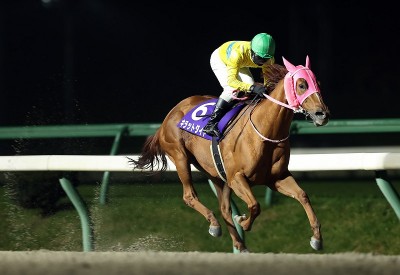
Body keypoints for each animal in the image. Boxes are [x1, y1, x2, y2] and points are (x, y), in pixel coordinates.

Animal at [130, 55, 328, 252]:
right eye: (302, 85)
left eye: (318, 83)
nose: (322, 114)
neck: (266, 131)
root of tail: (168, 117)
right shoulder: (236, 177)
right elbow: (255, 205)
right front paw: (243, 221)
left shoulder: (276, 178)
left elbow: (302, 195)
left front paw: (316, 238)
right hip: (180, 157)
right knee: (189, 195)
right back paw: (214, 225)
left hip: (217, 174)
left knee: (224, 208)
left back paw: (239, 244)